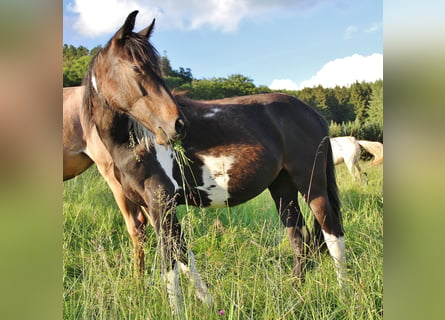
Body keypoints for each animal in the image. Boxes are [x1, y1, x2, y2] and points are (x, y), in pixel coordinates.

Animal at [63, 10, 346, 316]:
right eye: (136, 68)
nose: (177, 125)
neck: (137, 142)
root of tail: (313, 114)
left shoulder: (161, 202)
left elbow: (170, 263)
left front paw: (177, 311)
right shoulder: (154, 207)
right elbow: (183, 254)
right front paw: (208, 303)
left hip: (312, 184)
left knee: (332, 233)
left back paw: (345, 291)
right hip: (283, 188)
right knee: (299, 240)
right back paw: (294, 297)